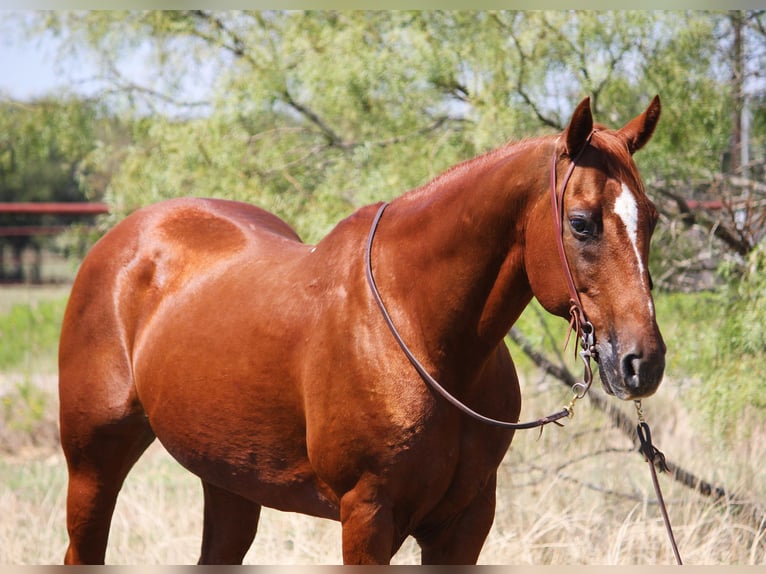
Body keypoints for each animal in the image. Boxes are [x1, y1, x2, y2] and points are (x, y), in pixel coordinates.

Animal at [61, 97, 664, 564]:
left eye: (653, 218)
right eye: (580, 223)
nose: (644, 362)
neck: (419, 329)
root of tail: (123, 238)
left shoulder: (466, 523)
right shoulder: (368, 518)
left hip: (229, 481)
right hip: (92, 467)